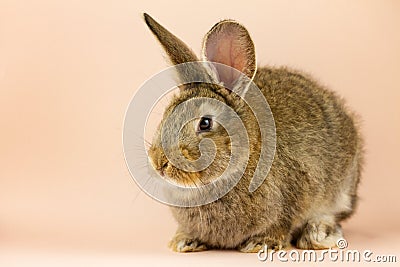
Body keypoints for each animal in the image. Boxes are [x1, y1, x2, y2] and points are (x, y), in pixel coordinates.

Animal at [143, 13, 362, 253]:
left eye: (205, 123)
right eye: (166, 113)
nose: (158, 162)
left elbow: (281, 224)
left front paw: (261, 243)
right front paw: (183, 241)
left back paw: (318, 234)